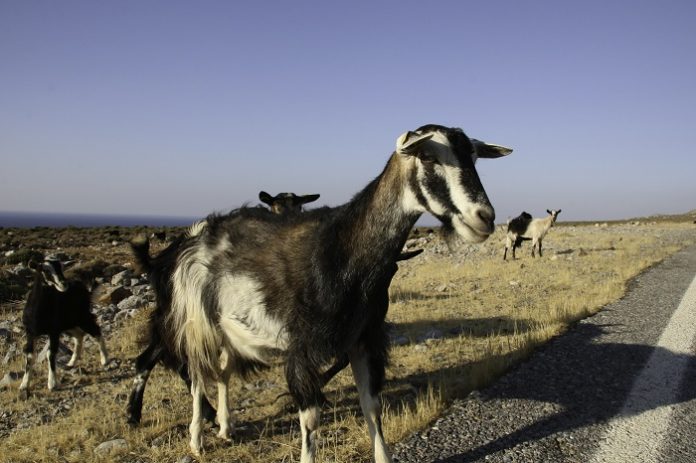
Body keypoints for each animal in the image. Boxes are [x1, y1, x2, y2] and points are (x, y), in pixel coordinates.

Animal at [18, 260, 109, 396]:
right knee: (79, 335)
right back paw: (71, 363)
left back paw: (105, 359)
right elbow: (29, 355)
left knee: (96, 331)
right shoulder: (31, 333)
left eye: (61, 267)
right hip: (69, 324)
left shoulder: (53, 331)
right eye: (45, 270)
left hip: (82, 317)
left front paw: (52, 384)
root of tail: (86, 290)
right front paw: (24, 385)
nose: (64, 284)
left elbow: (50, 353)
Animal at [126, 190, 322, 426]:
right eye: (275, 206)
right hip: (181, 319)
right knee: (176, 363)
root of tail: (160, 261)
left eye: (299, 206)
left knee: (156, 360)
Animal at [162, 122, 512, 460]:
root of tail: (198, 233)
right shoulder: (302, 348)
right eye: (427, 156)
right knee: (197, 375)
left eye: (474, 157)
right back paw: (197, 441)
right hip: (197, 322)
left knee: (222, 371)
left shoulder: (364, 338)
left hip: (227, 329)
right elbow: (310, 420)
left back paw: (225, 427)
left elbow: (372, 408)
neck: (342, 250)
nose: (484, 218)